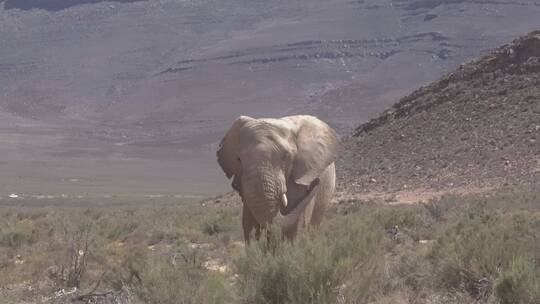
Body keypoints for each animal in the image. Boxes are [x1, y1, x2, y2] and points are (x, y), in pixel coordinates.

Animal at [216, 114, 340, 242]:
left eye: (286, 156)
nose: (317, 181)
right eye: (239, 159)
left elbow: (295, 225)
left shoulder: (303, 174)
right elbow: (248, 223)